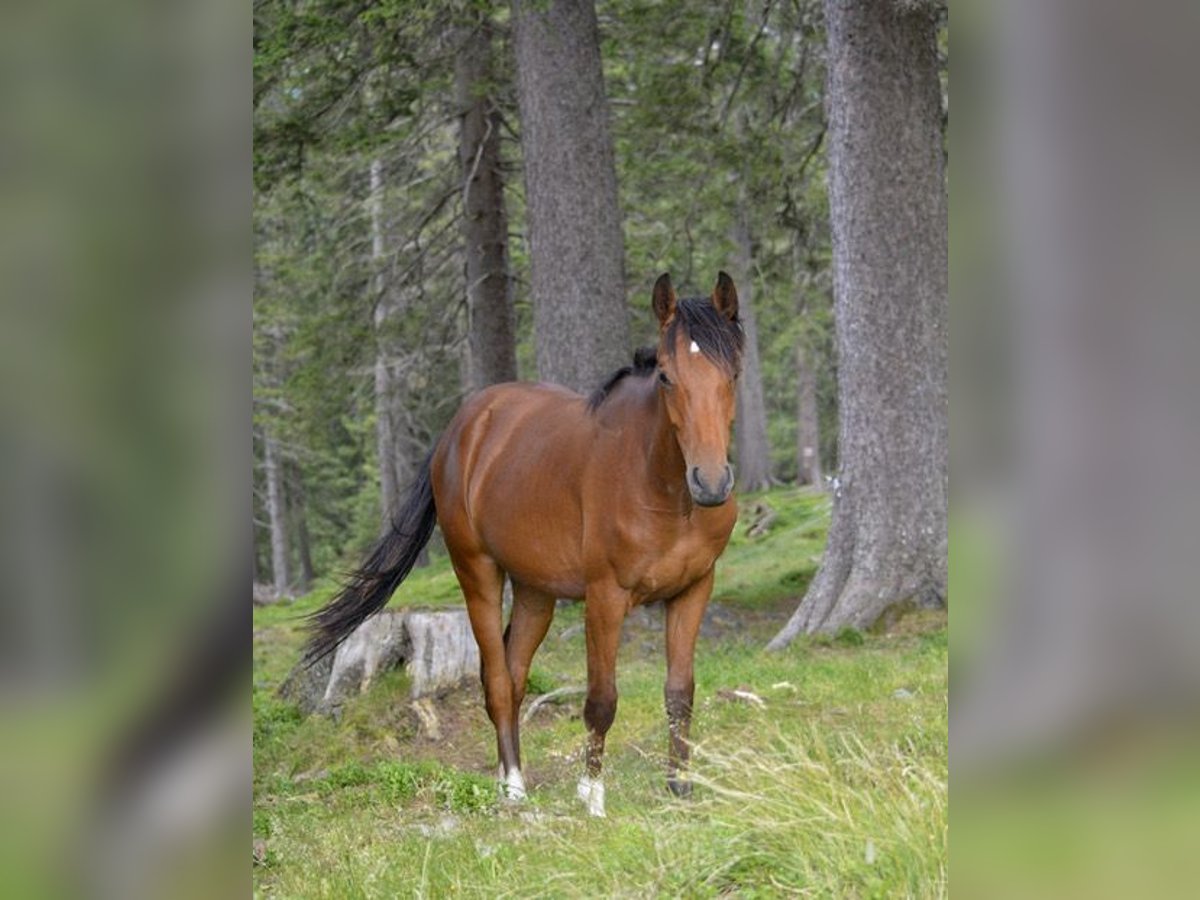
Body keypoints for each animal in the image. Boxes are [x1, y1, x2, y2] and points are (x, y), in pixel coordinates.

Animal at [305, 272, 744, 817]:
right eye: (665, 376)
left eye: (733, 374)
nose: (711, 482)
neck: (664, 488)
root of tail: (461, 428)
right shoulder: (605, 598)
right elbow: (601, 699)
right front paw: (592, 797)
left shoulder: (693, 590)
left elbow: (680, 693)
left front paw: (680, 789)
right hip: (478, 574)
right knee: (496, 681)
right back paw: (513, 786)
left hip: (536, 590)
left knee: (514, 677)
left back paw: (508, 775)